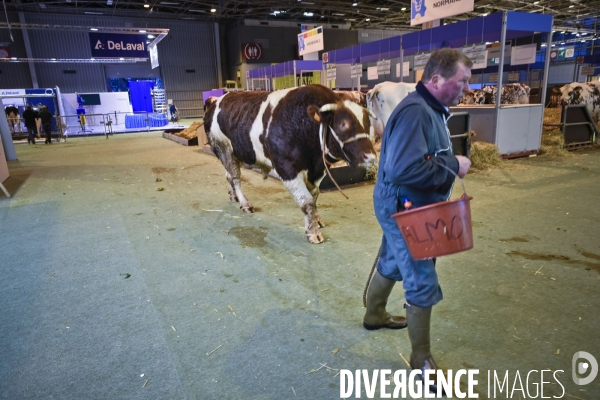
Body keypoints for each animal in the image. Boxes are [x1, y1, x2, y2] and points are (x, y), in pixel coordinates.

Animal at [205, 84, 376, 244]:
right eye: (343, 124)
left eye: (368, 124)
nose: (371, 156)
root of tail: (216, 100)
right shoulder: (287, 168)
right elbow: (306, 201)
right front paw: (313, 232)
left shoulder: (318, 170)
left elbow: (314, 196)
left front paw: (316, 220)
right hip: (223, 148)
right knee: (235, 177)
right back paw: (244, 203)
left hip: (236, 152)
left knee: (229, 175)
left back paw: (233, 196)